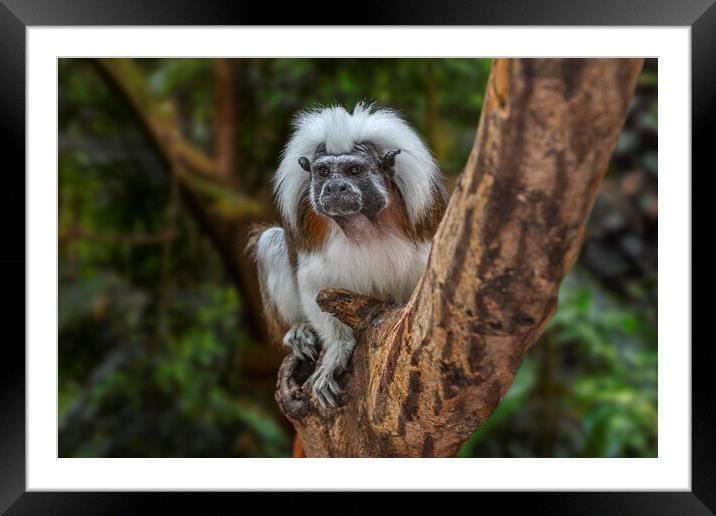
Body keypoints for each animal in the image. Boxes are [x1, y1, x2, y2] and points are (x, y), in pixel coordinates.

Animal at [252, 103, 442, 410]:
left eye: (353, 170)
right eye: (323, 171)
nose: (334, 187)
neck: (363, 226)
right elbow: (315, 289)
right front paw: (336, 353)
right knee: (271, 242)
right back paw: (300, 332)